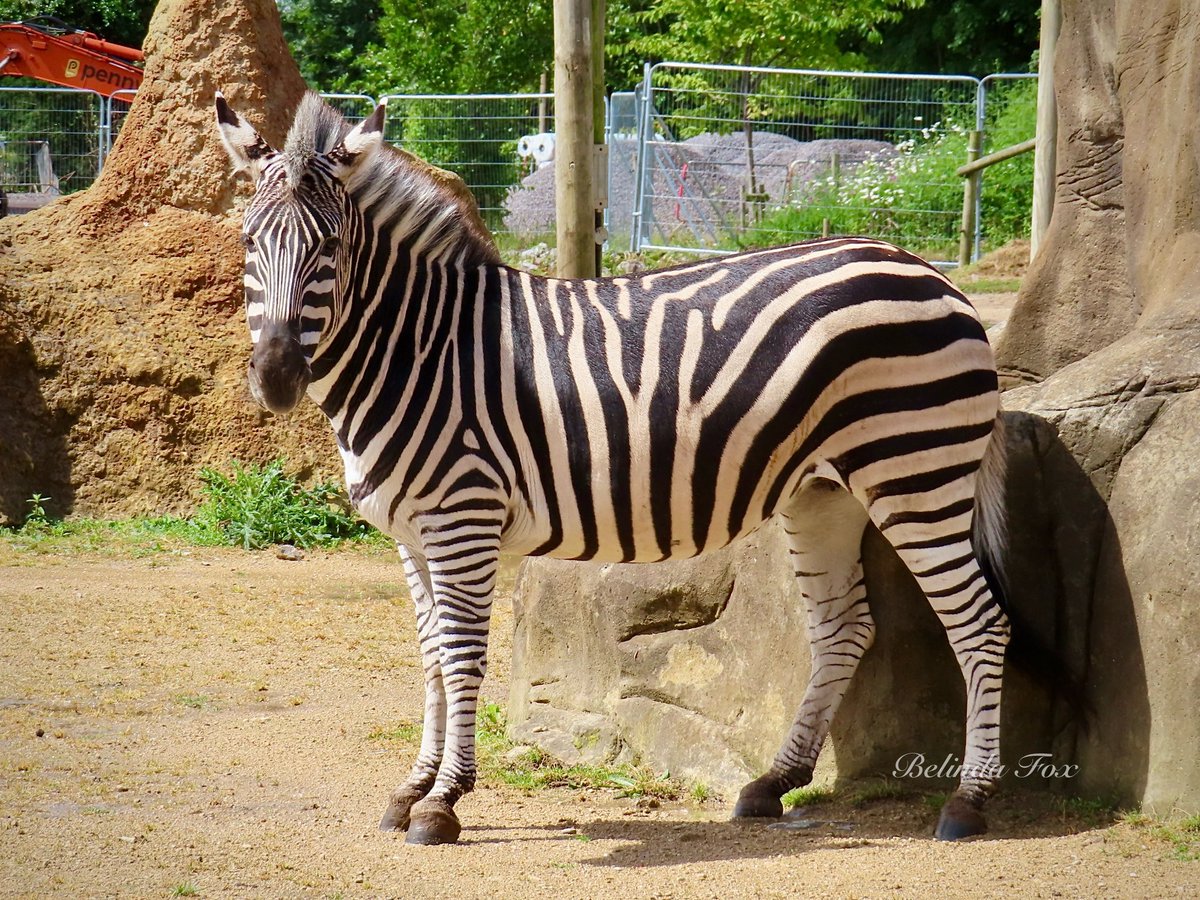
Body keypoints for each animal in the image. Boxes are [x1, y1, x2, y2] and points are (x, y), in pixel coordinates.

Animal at [216, 91, 1011, 846]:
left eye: (330, 248)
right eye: (250, 241)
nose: (278, 378)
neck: (421, 351)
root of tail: (922, 267)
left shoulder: (462, 519)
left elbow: (464, 658)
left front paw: (442, 802)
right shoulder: (412, 536)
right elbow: (434, 661)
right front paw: (412, 788)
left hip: (916, 472)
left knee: (979, 624)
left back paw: (969, 801)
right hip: (823, 493)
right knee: (843, 628)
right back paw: (773, 783)